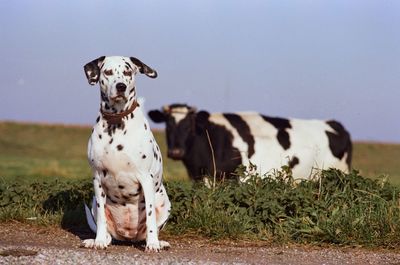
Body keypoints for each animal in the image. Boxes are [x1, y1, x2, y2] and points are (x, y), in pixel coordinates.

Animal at [82, 55, 171, 250]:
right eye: (108, 72)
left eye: (128, 71)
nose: (121, 86)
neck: (116, 122)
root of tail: (128, 237)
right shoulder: (97, 179)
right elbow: (101, 219)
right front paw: (99, 241)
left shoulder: (146, 178)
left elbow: (150, 217)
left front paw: (153, 244)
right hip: (93, 202)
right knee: (107, 231)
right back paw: (97, 240)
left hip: (165, 203)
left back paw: (159, 242)